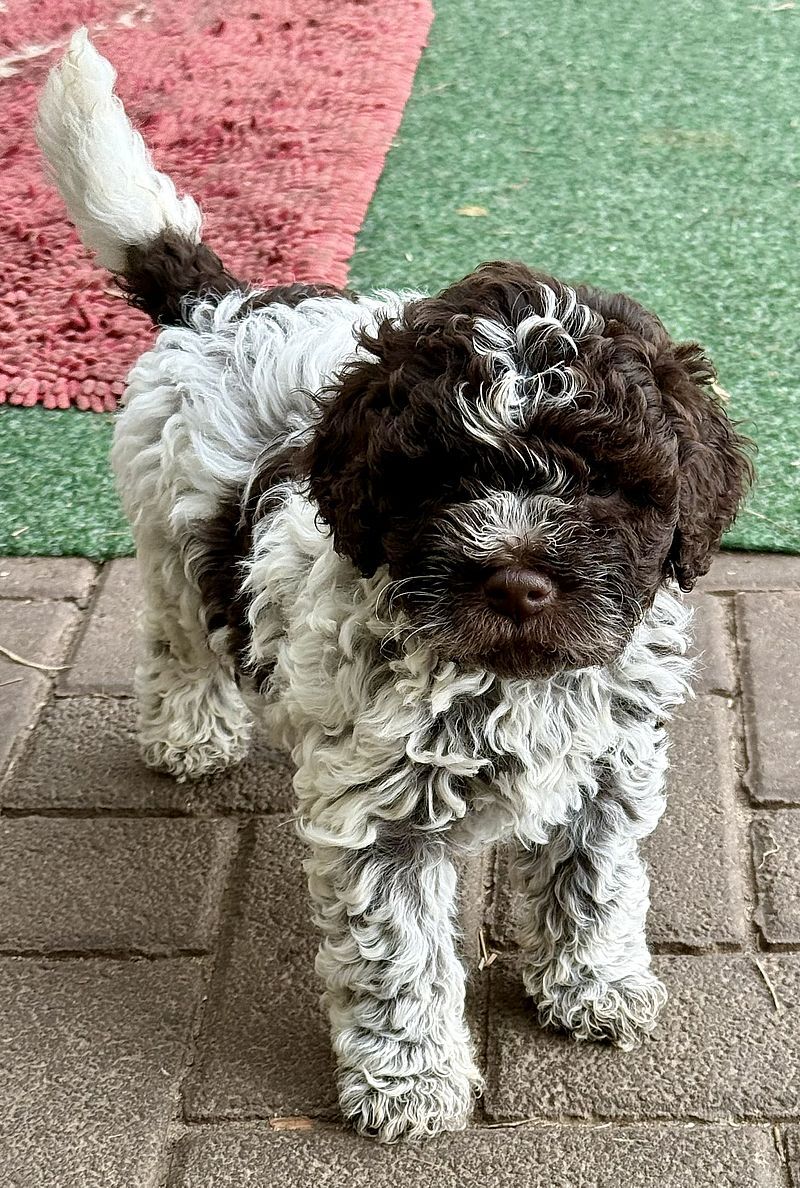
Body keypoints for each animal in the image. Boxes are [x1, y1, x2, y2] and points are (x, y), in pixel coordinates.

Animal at [37, 30, 752, 1142]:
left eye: (603, 479)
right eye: (444, 478)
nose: (517, 578)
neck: (507, 674)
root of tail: (221, 303)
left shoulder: (609, 765)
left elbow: (593, 881)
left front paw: (592, 984)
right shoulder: (378, 815)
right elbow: (400, 951)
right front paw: (409, 1080)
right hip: (165, 536)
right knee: (174, 632)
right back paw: (190, 728)